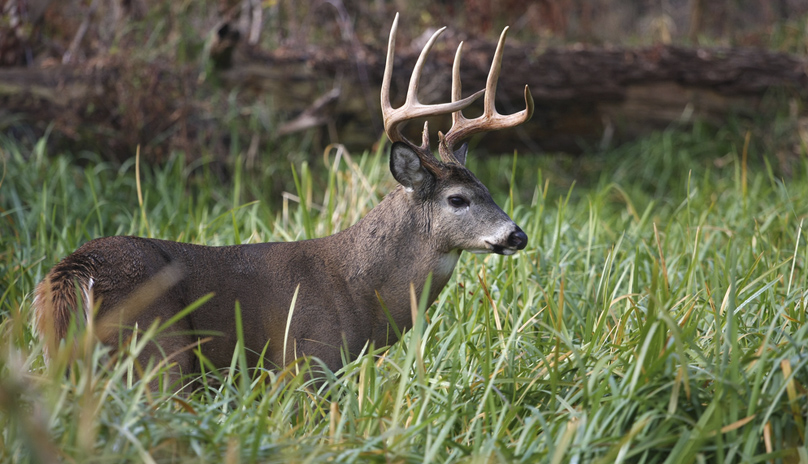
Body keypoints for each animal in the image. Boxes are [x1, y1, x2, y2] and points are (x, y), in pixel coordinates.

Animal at [32, 14, 534, 387]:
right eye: (458, 199)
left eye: (488, 190)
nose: (518, 235)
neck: (359, 293)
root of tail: (68, 277)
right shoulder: (306, 362)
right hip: (159, 350)